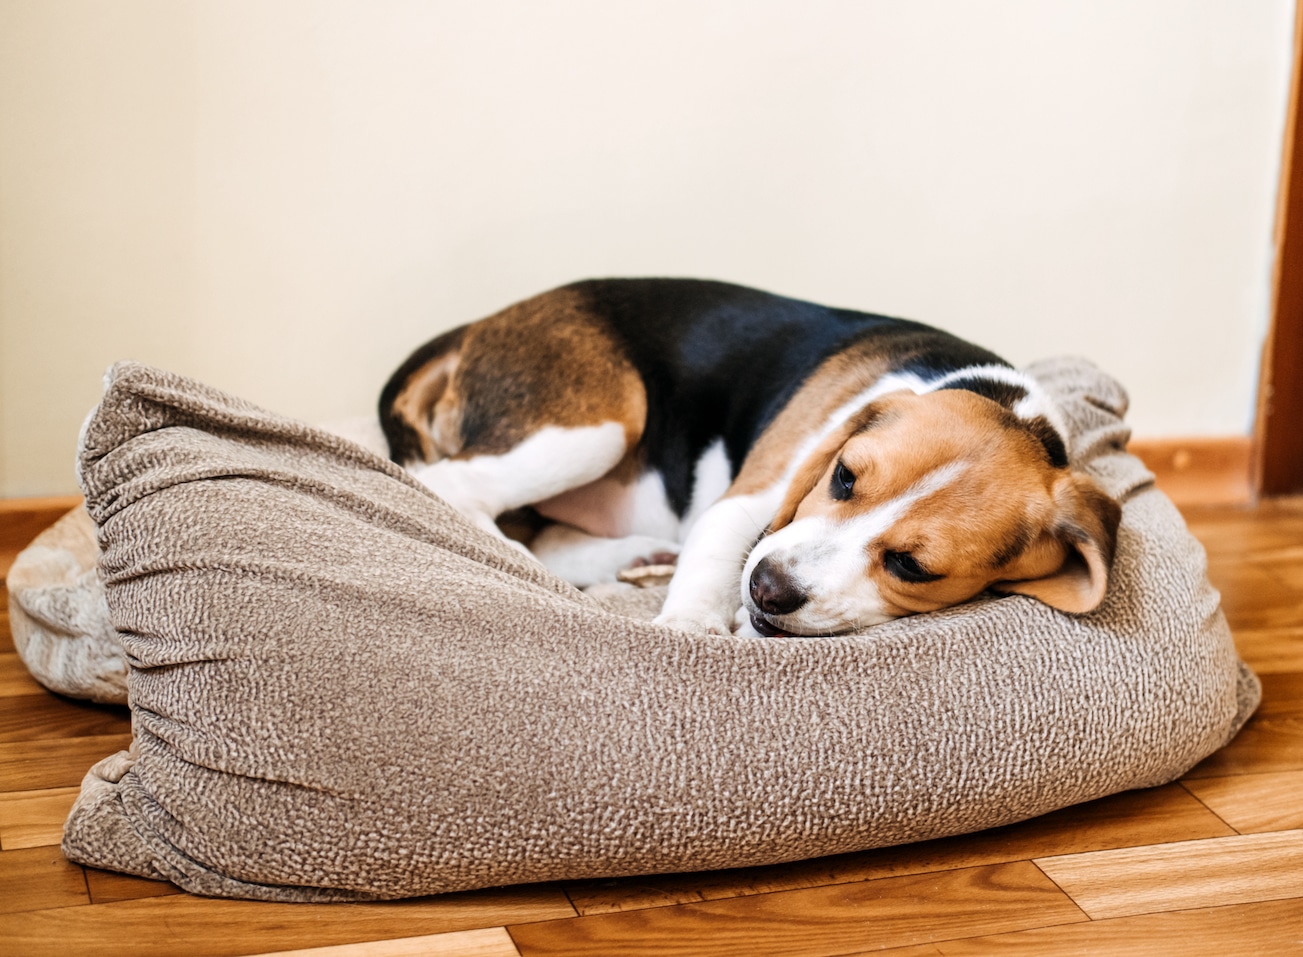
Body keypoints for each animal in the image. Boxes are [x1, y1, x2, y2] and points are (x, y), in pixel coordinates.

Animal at [380, 277, 1120, 636]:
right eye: (843, 475)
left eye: (912, 566)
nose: (768, 589)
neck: (1009, 407)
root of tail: (474, 328)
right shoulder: (750, 498)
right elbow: (717, 548)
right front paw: (690, 624)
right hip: (599, 424)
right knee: (450, 485)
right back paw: (519, 566)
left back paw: (635, 558)